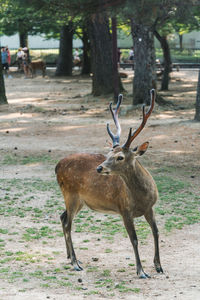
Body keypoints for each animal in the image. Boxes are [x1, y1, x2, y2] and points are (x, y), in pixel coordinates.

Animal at [55, 89, 163, 278]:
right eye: (107, 154)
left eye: (120, 157)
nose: (99, 168)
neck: (141, 198)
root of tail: (56, 166)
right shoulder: (124, 209)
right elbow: (134, 239)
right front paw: (141, 271)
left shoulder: (150, 207)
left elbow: (156, 232)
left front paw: (158, 266)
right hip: (70, 194)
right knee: (68, 224)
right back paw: (75, 263)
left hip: (79, 200)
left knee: (62, 217)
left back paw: (70, 257)